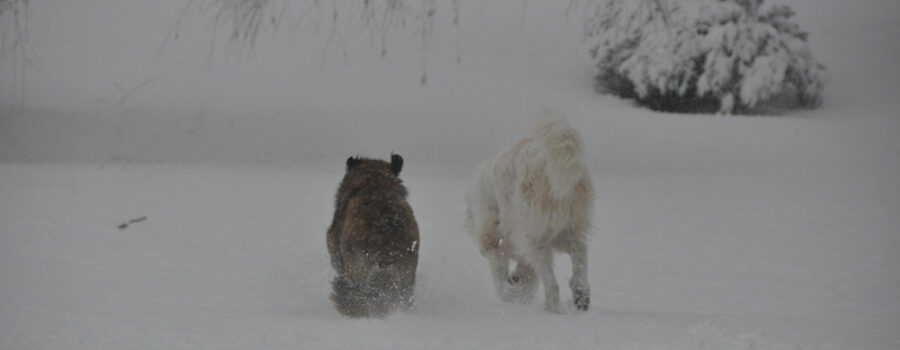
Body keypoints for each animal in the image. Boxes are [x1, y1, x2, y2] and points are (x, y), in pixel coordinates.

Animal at [468, 106, 596, 312]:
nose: (481, 252)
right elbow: (525, 273)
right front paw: (518, 279)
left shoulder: (495, 236)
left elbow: (500, 278)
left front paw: (510, 291)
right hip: (570, 229)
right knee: (580, 255)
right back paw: (581, 294)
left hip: (534, 236)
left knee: (552, 285)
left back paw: (552, 309)